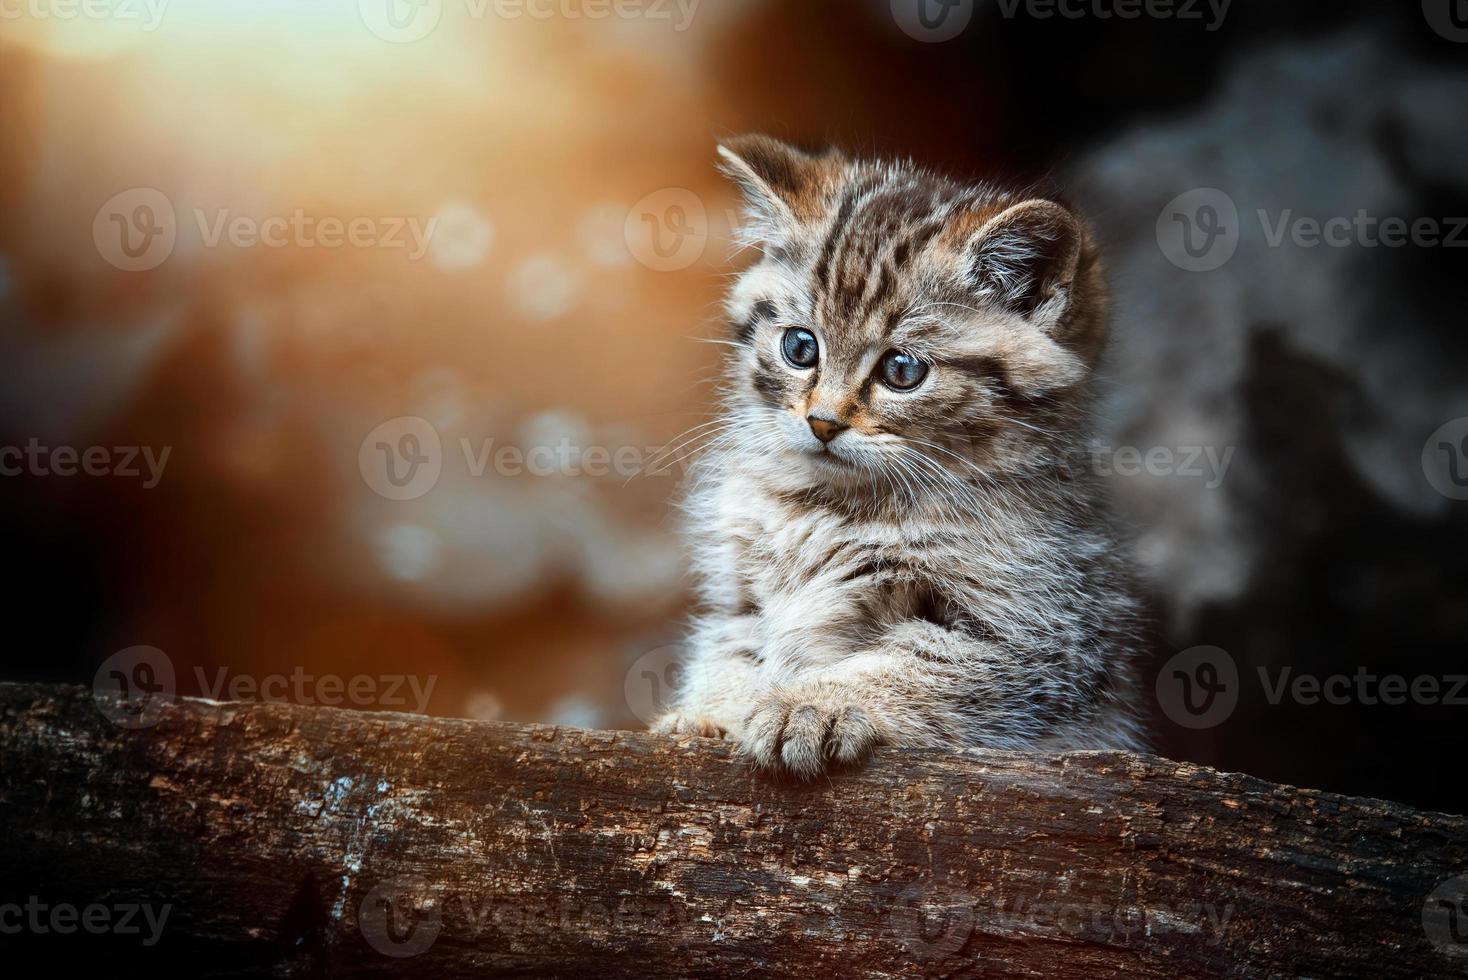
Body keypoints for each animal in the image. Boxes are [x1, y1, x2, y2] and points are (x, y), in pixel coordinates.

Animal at [651, 135, 1145, 774]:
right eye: (800, 347)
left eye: (902, 371)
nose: (822, 420)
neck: (828, 508)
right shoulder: (739, 598)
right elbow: (729, 649)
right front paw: (709, 713)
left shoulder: (1046, 637)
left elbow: (914, 662)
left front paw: (812, 703)